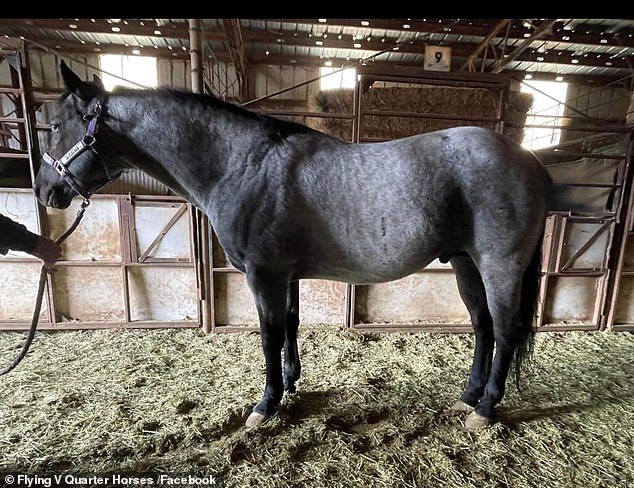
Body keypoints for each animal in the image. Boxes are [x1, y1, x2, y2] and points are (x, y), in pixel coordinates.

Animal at [32, 61, 552, 430]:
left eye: (55, 125)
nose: (45, 192)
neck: (240, 164)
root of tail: (528, 160)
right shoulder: (288, 275)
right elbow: (292, 326)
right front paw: (290, 384)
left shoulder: (264, 274)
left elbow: (269, 333)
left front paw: (265, 406)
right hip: (465, 264)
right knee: (483, 327)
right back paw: (468, 396)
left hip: (499, 266)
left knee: (505, 330)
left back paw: (485, 408)